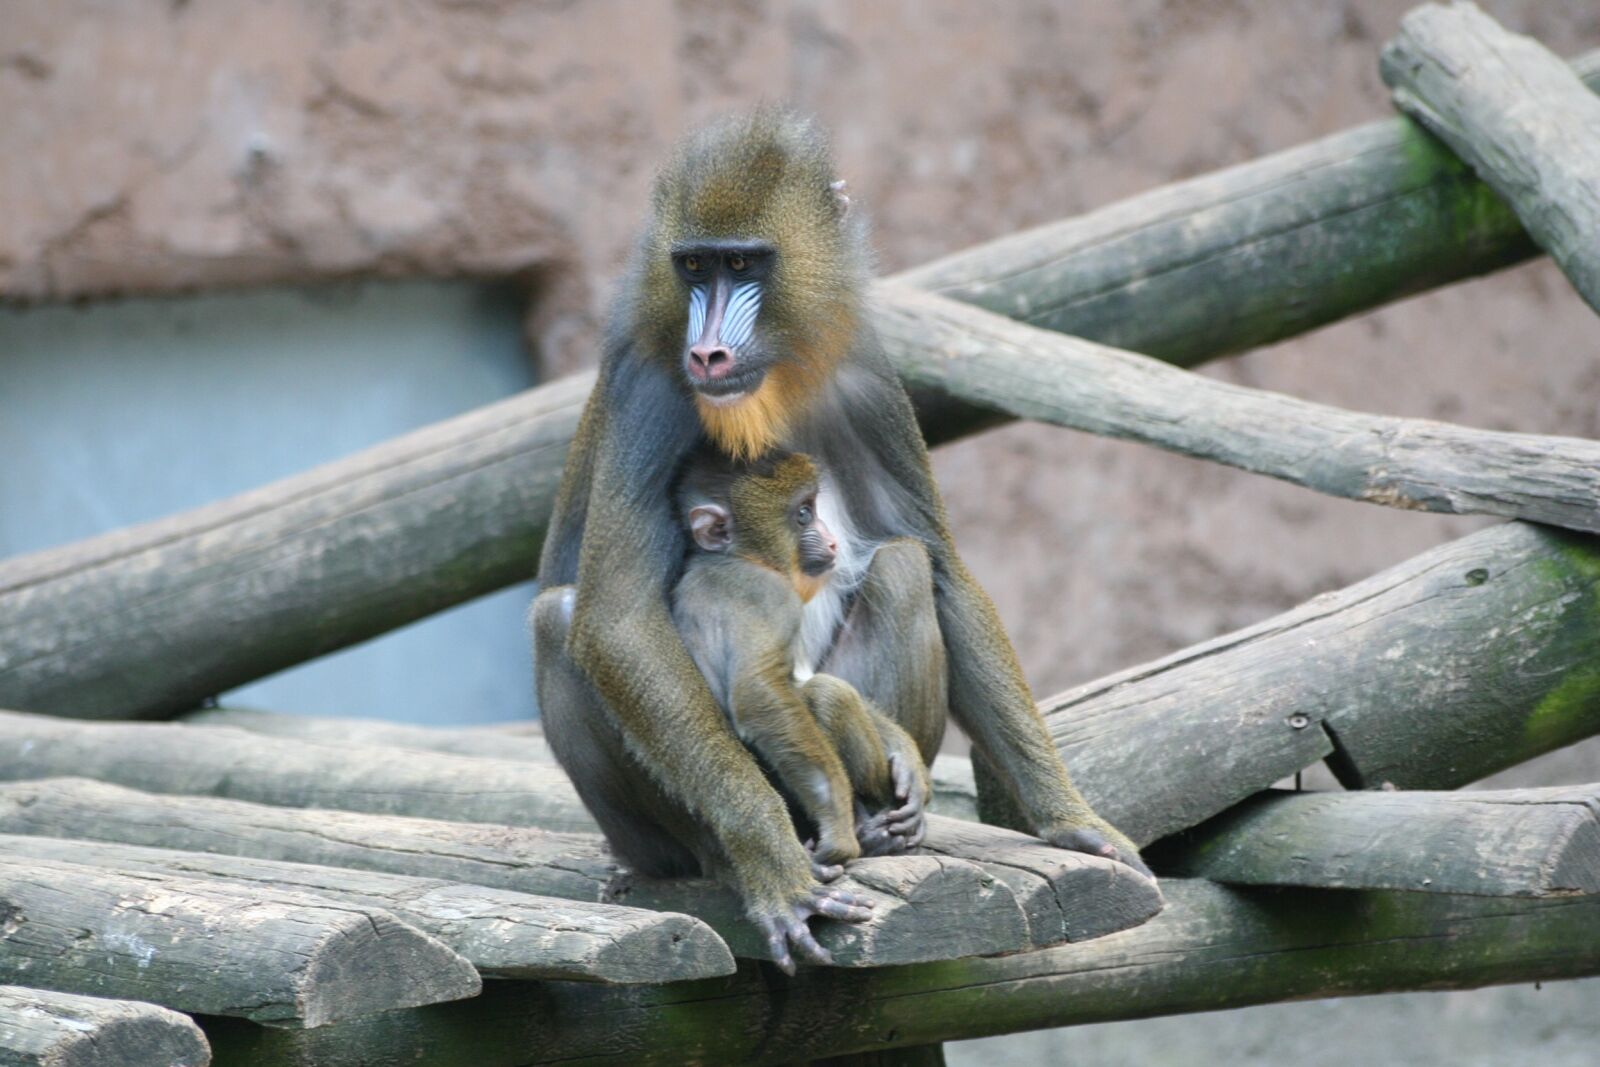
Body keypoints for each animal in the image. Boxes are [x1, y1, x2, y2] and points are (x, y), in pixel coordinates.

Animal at [670, 447, 931, 877]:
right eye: (804, 514)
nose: (832, 540)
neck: (734, 557)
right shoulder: (772, 596)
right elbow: (760, 695)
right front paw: (837, 835)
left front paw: (907, 761)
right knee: (829, 694)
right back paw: (872, 829)